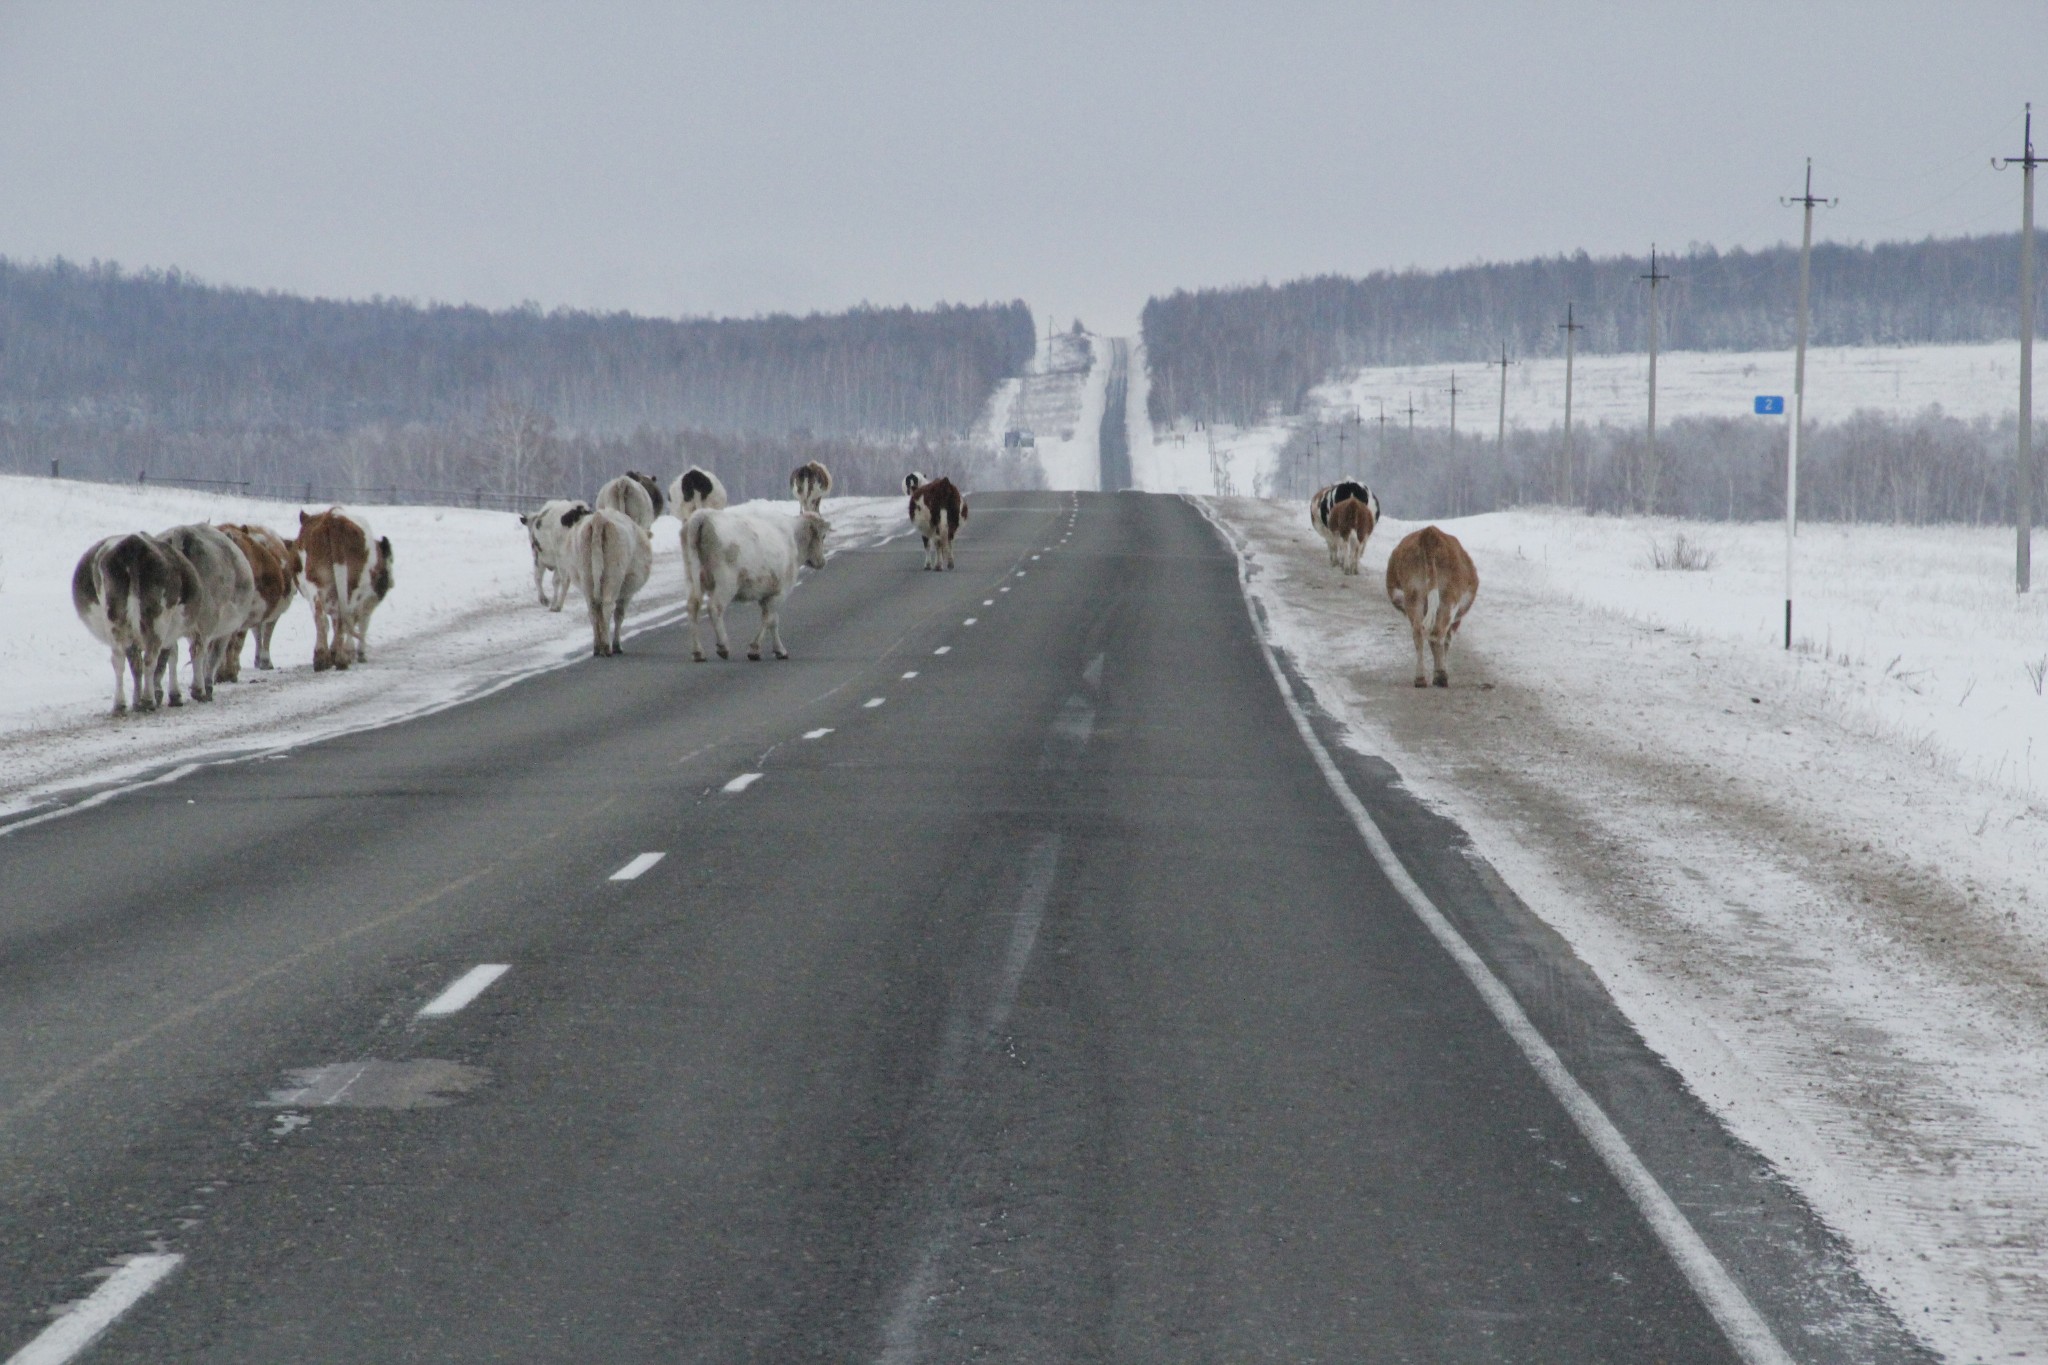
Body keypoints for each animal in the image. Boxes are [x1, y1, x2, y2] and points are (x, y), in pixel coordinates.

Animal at [569, 507, 647, 654]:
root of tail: (599, 519)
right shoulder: (627, 593)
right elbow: (619, 614)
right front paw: (617, 645)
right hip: (614, 576)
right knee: (608, 607)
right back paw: (607, 647)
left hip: (587, 576)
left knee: (593, 610)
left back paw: (596, 647)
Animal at [688, 509, 831, 663]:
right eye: (823, 536)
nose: (822, 562)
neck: (793, 538)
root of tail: (704, 516)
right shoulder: (779, 593)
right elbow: (769, 619)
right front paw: (755, 649)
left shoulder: (766, 594)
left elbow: (773, 620)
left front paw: (779, 650)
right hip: (726, 583)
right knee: (715, 608)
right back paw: (723, 646)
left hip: (693, 580)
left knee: (693, 607)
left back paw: (698, 652)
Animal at [1384, 527, 1482, 687]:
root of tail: (1430, 533)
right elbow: (1445, 642)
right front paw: (1439, 672)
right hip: (1449, 598)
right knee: (1438, 633)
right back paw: (1441, 677)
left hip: (1413, 594)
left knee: (1418, 632)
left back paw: (1420, 678)